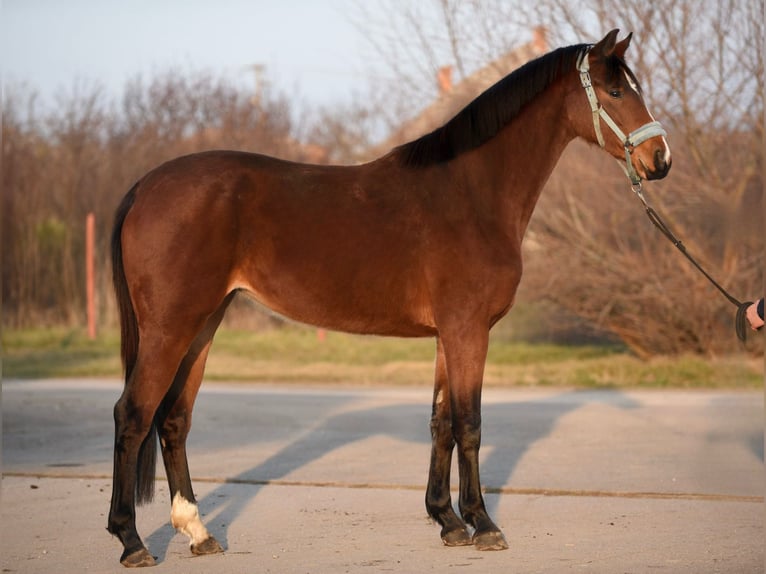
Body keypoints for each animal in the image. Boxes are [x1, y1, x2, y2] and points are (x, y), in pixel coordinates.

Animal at [108, 30, 672, 568]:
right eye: (616, 91)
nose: (661, 158)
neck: (471, 194)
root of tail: (144, 185)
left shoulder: (449, 335)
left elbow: (441, 423)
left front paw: (447, 521)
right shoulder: (468, 330)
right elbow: (470, 424)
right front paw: (483, 524)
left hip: (203, 324)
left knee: (174, 418)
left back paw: (198, 533)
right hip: (170, 328)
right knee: (132, 415)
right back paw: (132, 541)